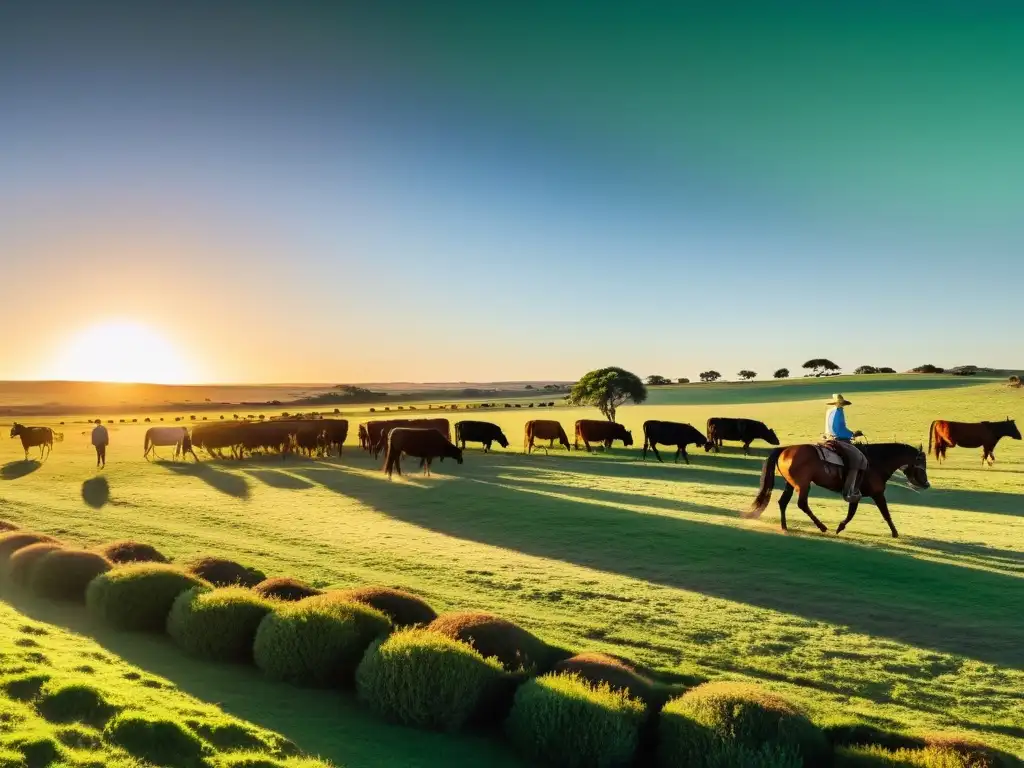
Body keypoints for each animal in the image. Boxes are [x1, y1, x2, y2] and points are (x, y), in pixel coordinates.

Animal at [749, 442, 933, 536]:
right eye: (922, 463)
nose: (926, 484)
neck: (876, 461)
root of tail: (785, 450)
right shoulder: (877, 493)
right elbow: (885, 513)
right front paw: (895, 533)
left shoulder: (857, 494)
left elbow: (852, 512)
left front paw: (840, 527)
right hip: (803, 485)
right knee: (802, 504)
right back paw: (822, 527)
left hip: (791, 484)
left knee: (783, 502)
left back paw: (784, 527)